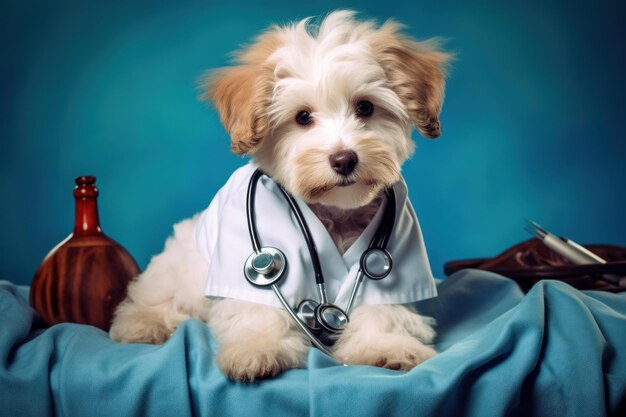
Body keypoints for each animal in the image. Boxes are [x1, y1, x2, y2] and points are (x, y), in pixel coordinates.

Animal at [107, 9, 448, 380]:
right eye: (303, 117)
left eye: (365, 108)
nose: (344, 159)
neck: (335, 212)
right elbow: (260, 309)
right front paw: (258, 349)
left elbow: (382, 309)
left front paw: (385, 345)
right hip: (184, 268)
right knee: (157, 297)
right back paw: (142, 324)